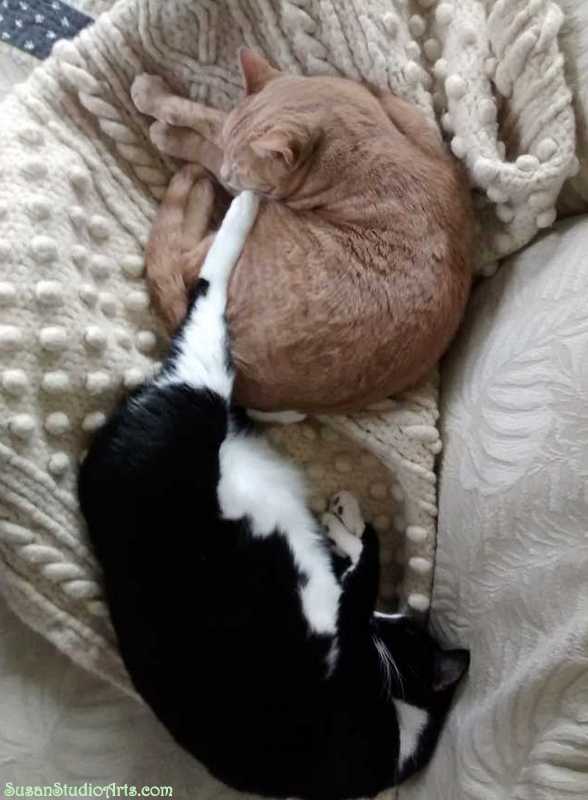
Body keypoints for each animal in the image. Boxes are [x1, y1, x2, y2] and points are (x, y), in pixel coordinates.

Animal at [78, 187, 469, 800]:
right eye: (401, 627)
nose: (381, 620)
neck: (403, 731)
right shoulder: (351, 648)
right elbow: (369, 562)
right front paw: (349, 524)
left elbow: (357, 569)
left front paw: (342, 522)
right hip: (201, 393)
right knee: (209, 296)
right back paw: (244, 204)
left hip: (202, 389)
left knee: (211, 315)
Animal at [131, 48, 475, 414]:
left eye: (236, 171)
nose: (224, 175)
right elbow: (213, 120)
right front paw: (159, 101)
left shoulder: (251, 186)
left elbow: (212, 131)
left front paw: (168, 130)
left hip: (255, 221)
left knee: (179, 260)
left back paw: (199, 190)